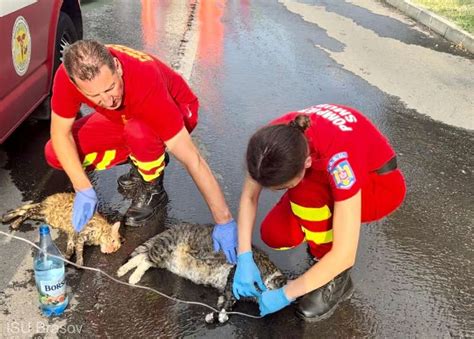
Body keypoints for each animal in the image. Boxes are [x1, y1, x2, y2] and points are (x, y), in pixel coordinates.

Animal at [116, 223, 286, 324]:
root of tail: (172, 228)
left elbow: (227, 299)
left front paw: (220, 310)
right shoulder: (236, 273)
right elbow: (229, 299)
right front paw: (221, 313)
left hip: (162, 259)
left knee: (142, 257)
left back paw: (124, 270)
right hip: (164, 248)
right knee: (145, 260)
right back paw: (133, 276)